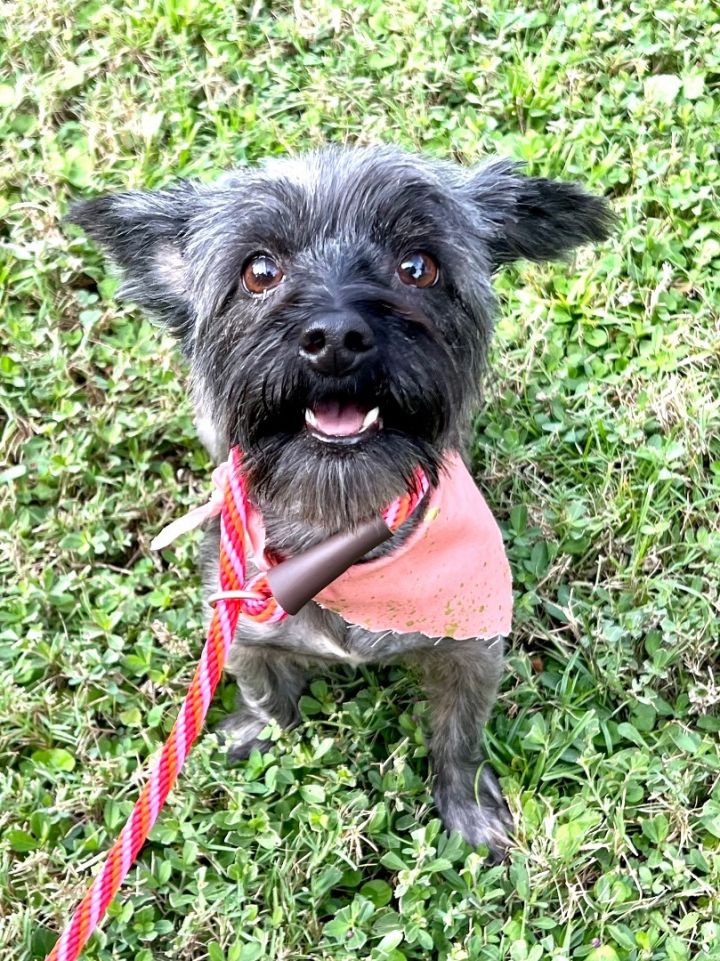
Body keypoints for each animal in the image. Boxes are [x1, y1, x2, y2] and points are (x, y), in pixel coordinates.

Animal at [69, 146, 612, 860]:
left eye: (418, 266)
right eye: (260, 270)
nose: (335, 336)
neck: (337, 537)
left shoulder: (472, 652)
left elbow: (458, 739)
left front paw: (468, 812)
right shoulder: (241, 632)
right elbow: (269, 699)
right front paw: (254, 734)